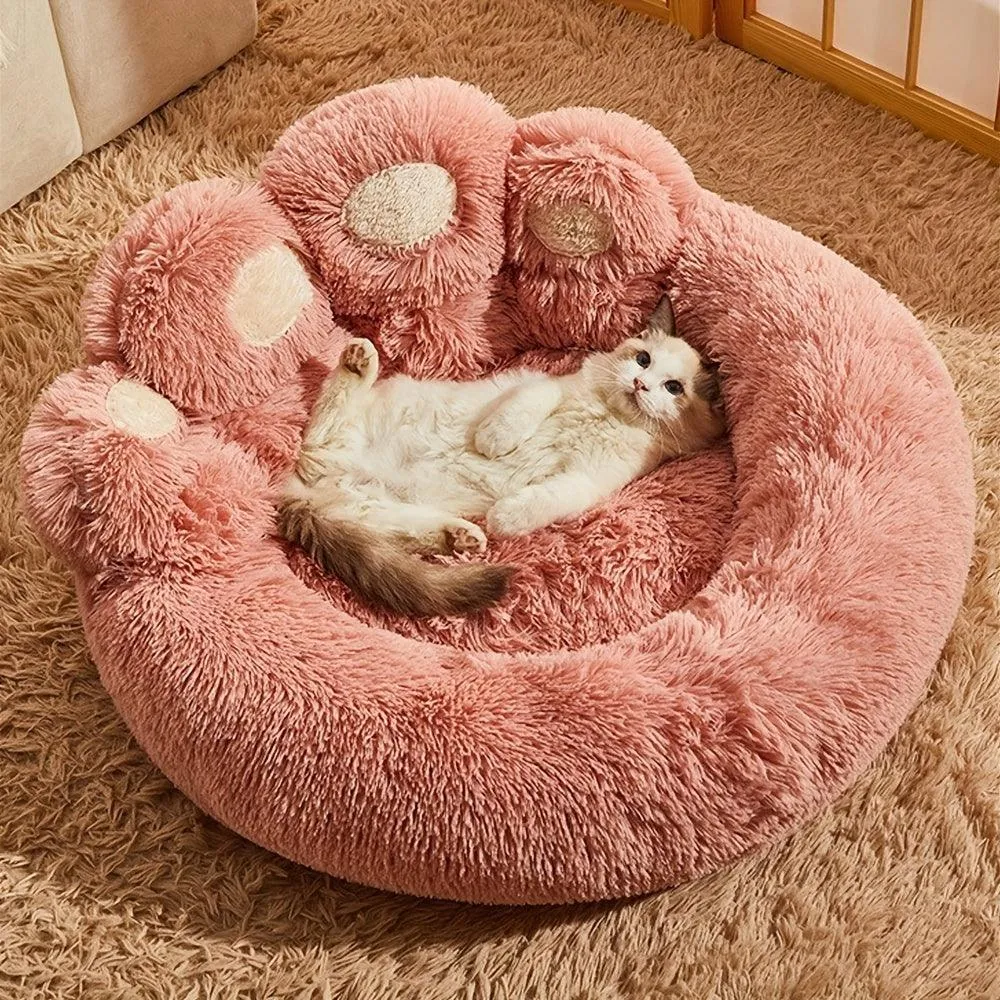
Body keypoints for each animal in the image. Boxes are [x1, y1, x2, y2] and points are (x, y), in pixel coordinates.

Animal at [278, 292, 724, 612]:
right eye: (643, 359)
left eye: (674, 388)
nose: (639, 384)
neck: (607, 415)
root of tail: (299, 493)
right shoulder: (549, 386)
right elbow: (525, 408)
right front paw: (494, 440)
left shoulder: (589, 480)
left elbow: (548, 499)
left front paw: (505, 516)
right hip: (346, 437)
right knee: (323, 425)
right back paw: (358, 361)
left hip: (370, 508)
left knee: (398, 531)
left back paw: (462, 536)